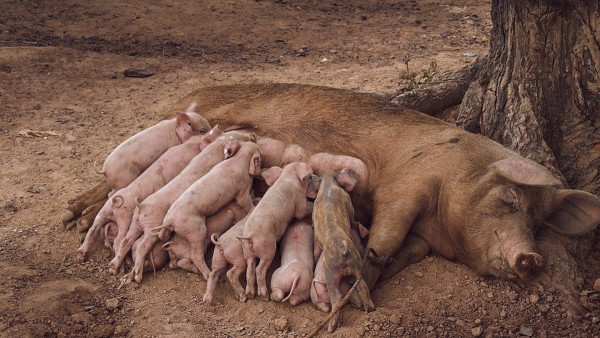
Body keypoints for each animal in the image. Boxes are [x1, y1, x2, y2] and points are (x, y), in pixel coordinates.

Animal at [77, 125, 223, 260]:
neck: (188, 146)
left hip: (104, 211)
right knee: (120, 239)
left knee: (93, 228)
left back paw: (81, 254)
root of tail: (115, 201)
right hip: (124, 218)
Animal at [108, 131, 255, 276]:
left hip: (135, 222)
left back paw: (113, 268)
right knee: (142, 246)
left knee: (125, 240)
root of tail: (142, 206)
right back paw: (137, 276)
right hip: (152, 226)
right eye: (236, 137)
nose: (252, 135)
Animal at [238, 162, 322, 302]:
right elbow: (303, 211)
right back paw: (265, 296)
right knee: (259, 270)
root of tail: (251, 235)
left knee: (250, 268)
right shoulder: (300, 202)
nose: (320, 179)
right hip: (268, 248)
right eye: (309, 176)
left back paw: (250, 294)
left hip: (247, 251)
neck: (288, 177)